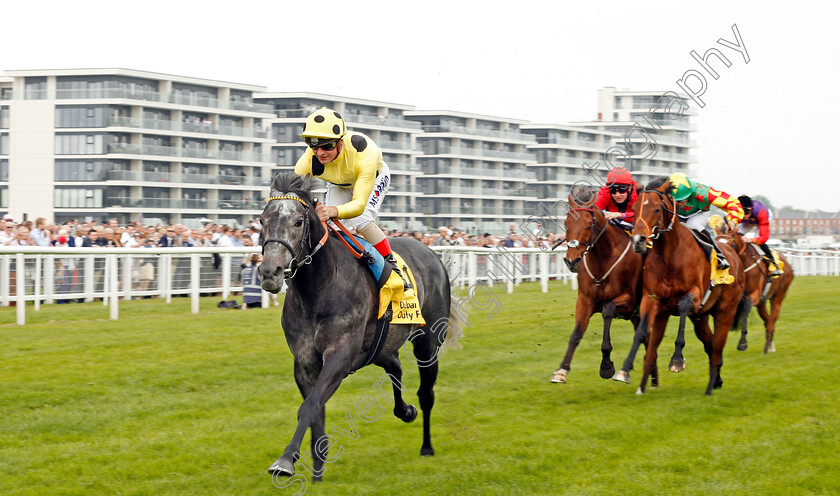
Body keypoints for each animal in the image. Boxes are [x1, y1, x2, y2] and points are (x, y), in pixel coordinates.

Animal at [260, 172, 456, 482]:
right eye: (262, 220)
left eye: (298, 222)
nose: (270, 272)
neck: (318, 289)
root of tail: (431, 252)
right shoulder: (305, 363)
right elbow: (315, 409)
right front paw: (317, 469)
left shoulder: (340, 356)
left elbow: (309, 406)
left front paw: (285, 460)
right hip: (381, 346)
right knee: (395, 366)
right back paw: (405, 411)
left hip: (427, 343)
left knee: (426, 394)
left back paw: (426, 446)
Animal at [548, 186, 648, 384]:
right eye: (566, 224)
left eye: (588, 225)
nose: (572, 261)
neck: (603, 259)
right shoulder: (585, 300)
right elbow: (576, 334)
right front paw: (561, 370)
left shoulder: (629, 300)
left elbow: (607, 311)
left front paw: (607, 366)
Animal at [612, 177, 744, 396]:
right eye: (635, 208)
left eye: (657, 209)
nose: (638, 241)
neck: (670, 255)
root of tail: (734, 256)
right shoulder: (651, 299)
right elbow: (641, 334)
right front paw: (625, 371)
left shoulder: (694, 295)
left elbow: (682, 307)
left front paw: (677, 360)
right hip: (698, 317)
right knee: (707, 344)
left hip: (725, 311)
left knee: (717, 347)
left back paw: (710, 388)